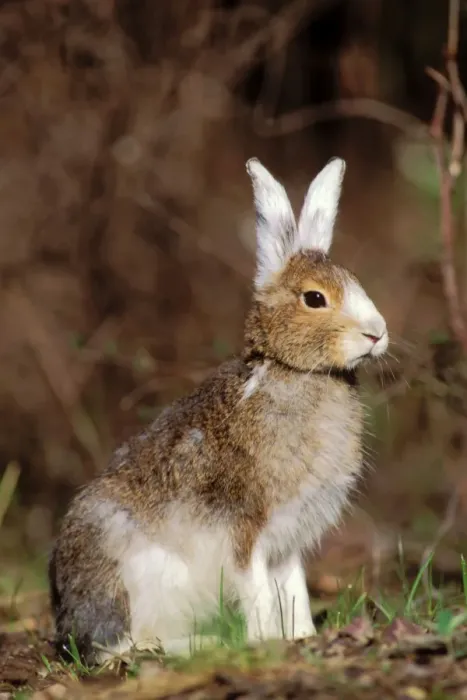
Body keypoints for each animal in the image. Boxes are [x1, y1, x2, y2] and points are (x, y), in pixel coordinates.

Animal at [49, 157, 388, 665]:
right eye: (314, 298)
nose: (377, 333)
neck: (293, 370)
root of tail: (68, 619)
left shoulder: (288, 542)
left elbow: (294, 590)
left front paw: (302, 637)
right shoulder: (246, 531)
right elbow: (259, 592)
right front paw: (265, 642)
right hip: (132, 572)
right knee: (123, 645)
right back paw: (205, 644)